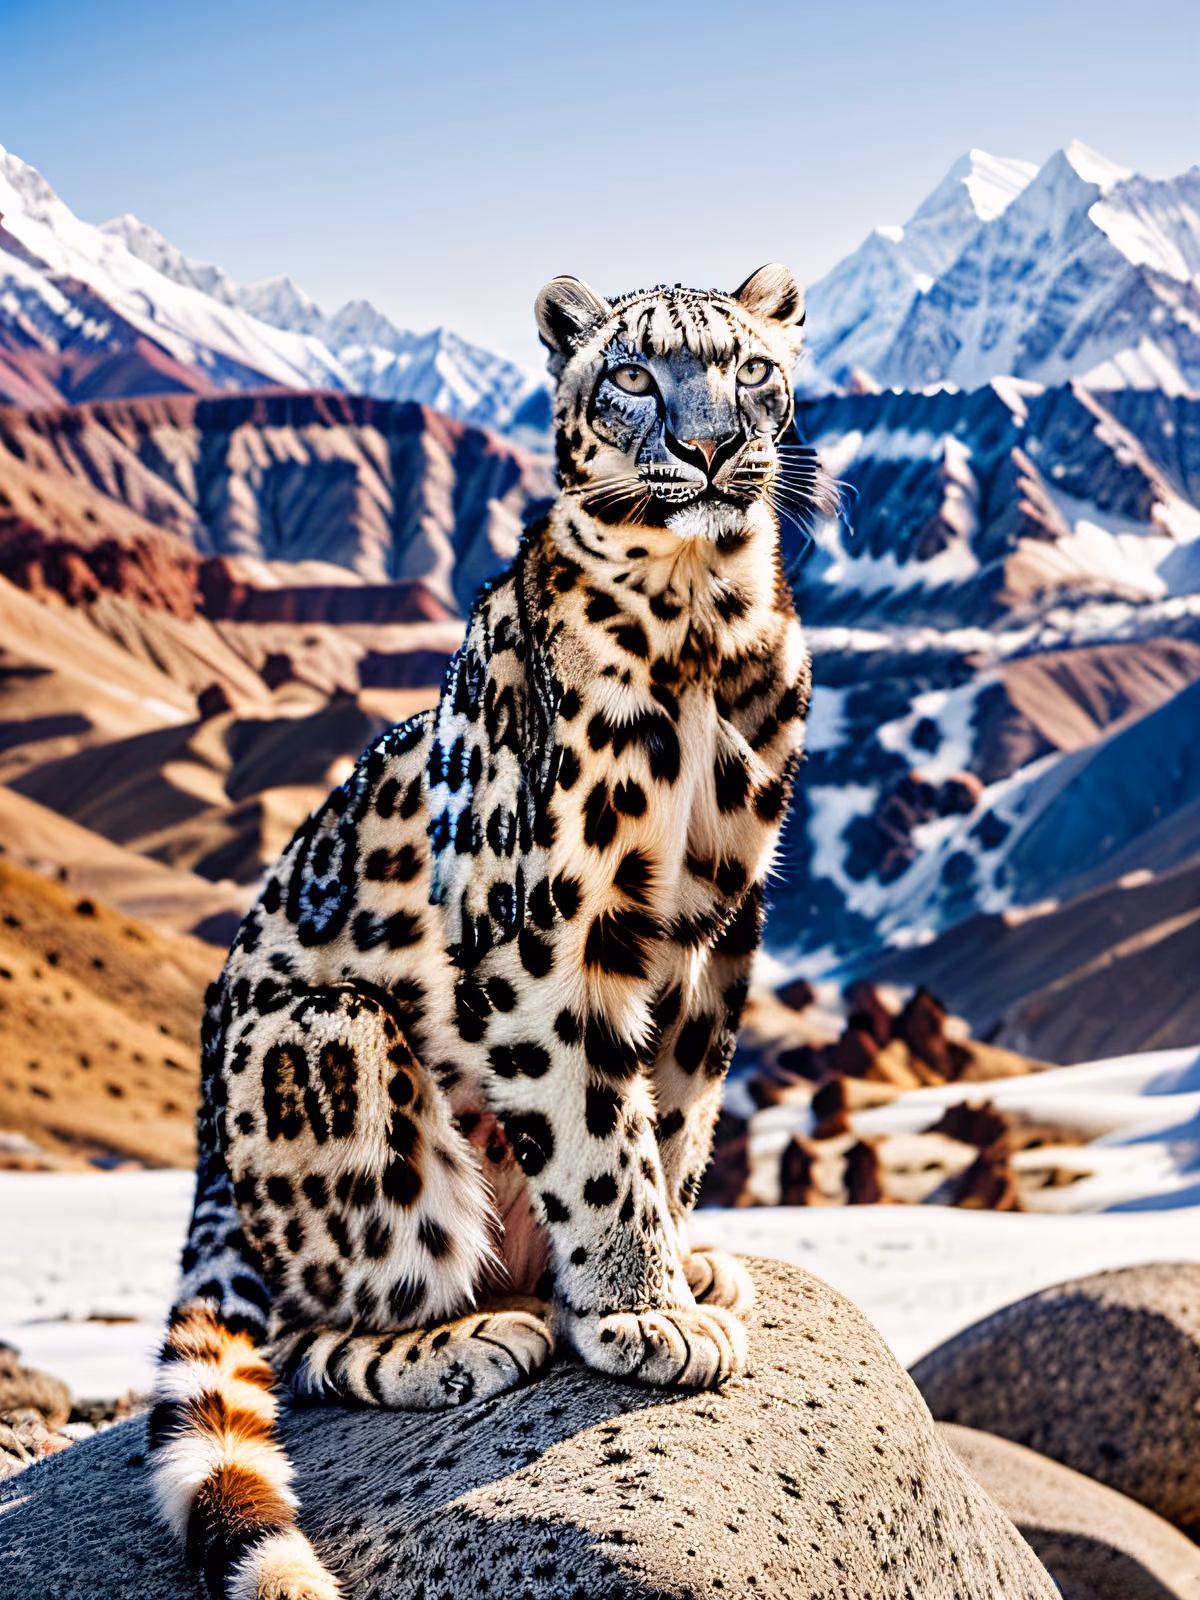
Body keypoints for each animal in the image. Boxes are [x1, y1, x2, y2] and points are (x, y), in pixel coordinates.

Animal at [148, 262, 833, 1600]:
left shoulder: (722, 926)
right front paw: (640, 1311)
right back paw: (468, 1338)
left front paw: (673, 1267)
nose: (709, 446)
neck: (703, 622)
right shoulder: (552, 924)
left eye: (751, 368)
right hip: (332, 1047)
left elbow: (674, 1114)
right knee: (309, 1320)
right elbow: (595, 1126)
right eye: (633, 373)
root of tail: (205, 1146)